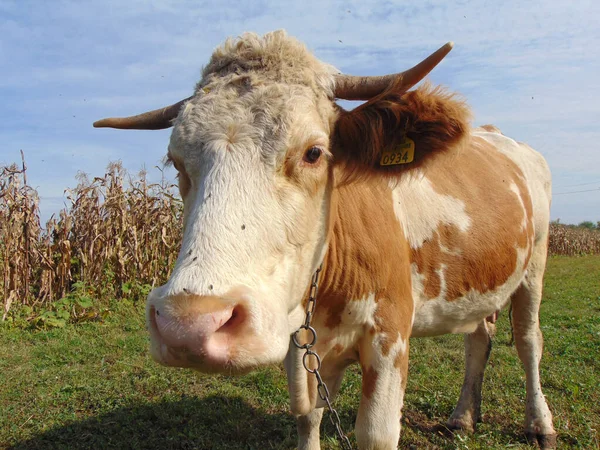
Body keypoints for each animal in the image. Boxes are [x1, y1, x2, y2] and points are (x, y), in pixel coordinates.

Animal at [94, 29, 556, 448]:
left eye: (314, 152)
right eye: (176, 161)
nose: (188, 326)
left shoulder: (389, 336)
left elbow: (375, 434)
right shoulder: (300, 340)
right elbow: (309, 417)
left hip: (534, 265)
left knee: (528, 340)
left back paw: (540, 424)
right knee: (478, 337)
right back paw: (462, 416)